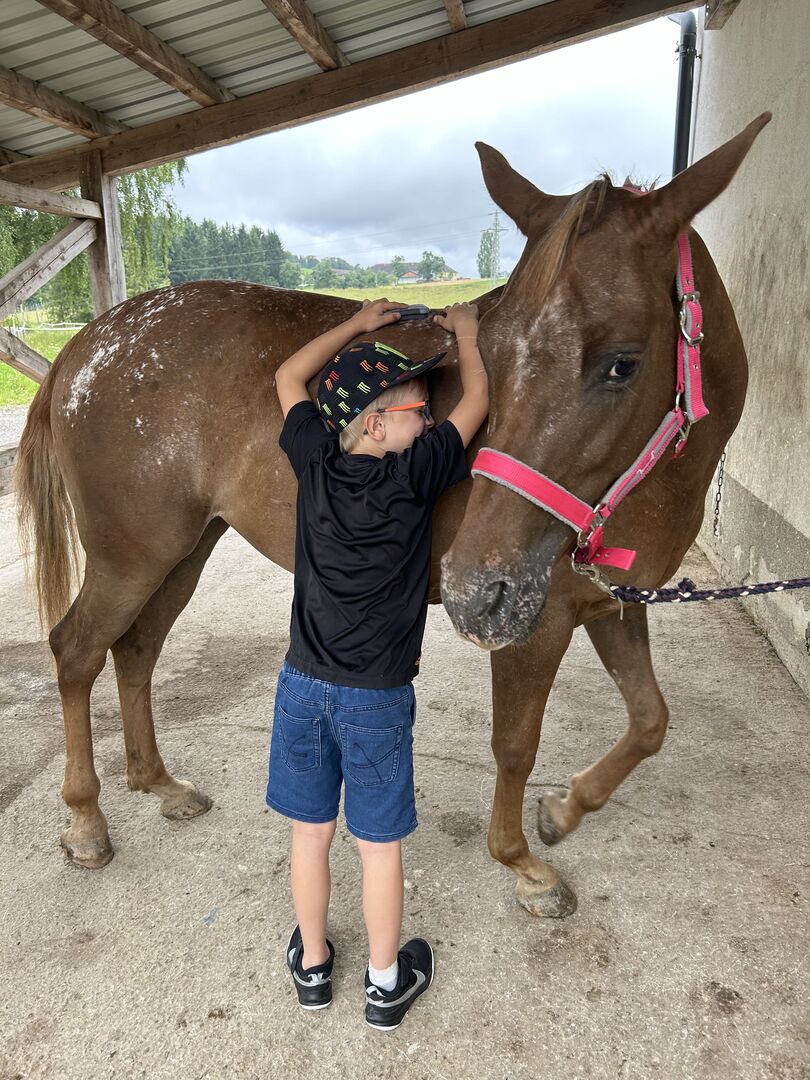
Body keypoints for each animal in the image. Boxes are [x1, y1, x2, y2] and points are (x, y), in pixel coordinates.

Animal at [16, 112, 770, 918]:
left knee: (136, 650)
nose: (475, 588)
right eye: (489, 355)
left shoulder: (613, 602)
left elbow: (650, 720)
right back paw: (86, 820)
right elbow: (515, 747)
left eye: (623, 362)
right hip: (132, 557)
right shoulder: (540, 623)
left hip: (183, 552)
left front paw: (564, 810)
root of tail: (88, 346)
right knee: (77, 651)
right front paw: (522, 863)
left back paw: (159, 783)